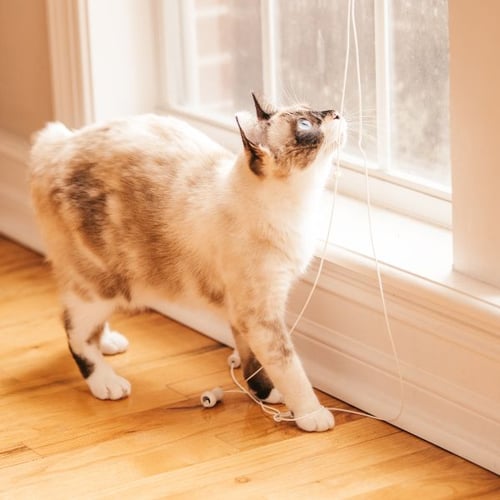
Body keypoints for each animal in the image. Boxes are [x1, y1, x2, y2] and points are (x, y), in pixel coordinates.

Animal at [29, 94, 346, 434]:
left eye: (314, 110)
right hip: (99, 288)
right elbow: (289, 368)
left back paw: (109, 343)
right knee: (74, 332)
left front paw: (265, 393)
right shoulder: (260, 314)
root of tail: (60, 143)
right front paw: (310, 413)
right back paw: (106, 382)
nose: (336, 113)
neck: (299, 207)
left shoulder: (244, 312)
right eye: (306, 125)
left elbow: (252, 361)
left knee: (89, 329)